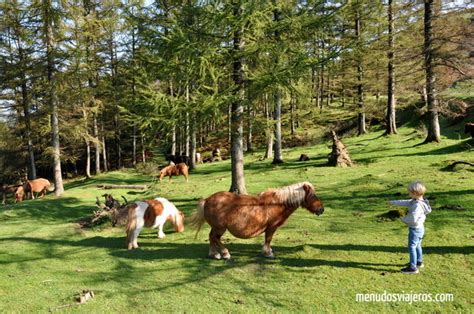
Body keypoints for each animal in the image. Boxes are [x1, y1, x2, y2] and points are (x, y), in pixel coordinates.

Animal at [191, 182, 324, 260]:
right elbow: (268, 239)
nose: (321, 209)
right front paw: (268, 253)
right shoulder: (271, 227)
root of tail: (207, 200)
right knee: (216, 238)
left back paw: (214, 254)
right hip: (220, 228)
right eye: (313, 195)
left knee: (211, 237)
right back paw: (224, 253)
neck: (276, 203)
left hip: (216, 227)